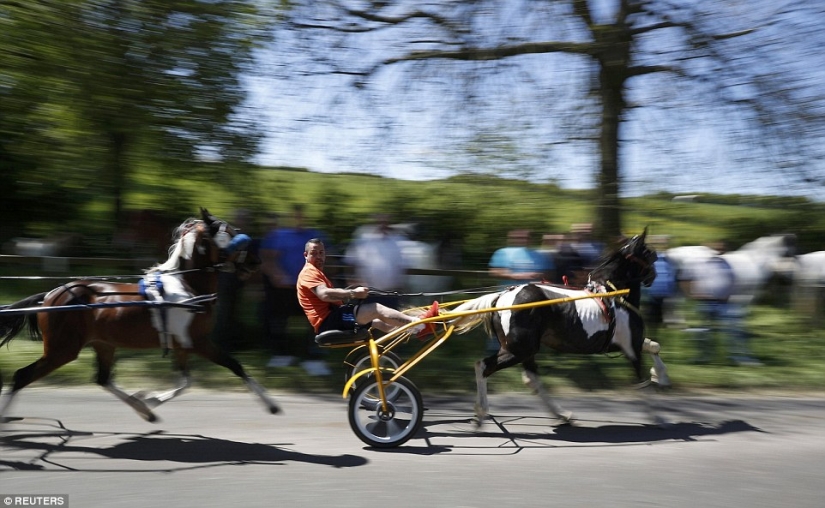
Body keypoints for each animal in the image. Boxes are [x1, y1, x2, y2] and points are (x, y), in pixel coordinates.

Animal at [0, 208, 280, 422]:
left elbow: (185, 382)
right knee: (21, 376)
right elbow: (235, 366)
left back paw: (143, 409)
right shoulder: (199, 342)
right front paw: (271, 404)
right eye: (232, 234)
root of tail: (52, 294)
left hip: (103, 344)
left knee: (103, 379)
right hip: (63, 349)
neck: (186, 287)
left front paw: (150, 401)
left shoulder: (183, 345)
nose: (255, 262)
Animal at [447, 229, 670, 426]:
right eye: (650, 254)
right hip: (519, 350)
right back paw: (481, 411)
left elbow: (654, 346)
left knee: (531, 379)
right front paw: (657, 416)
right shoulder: (631, 348)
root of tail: (502, 296)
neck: (614, 294)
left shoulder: (628, 343)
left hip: (523, 349)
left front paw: (660, 376)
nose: (655, 276)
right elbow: (642, 381)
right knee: (483, 366)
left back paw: (562, 415)